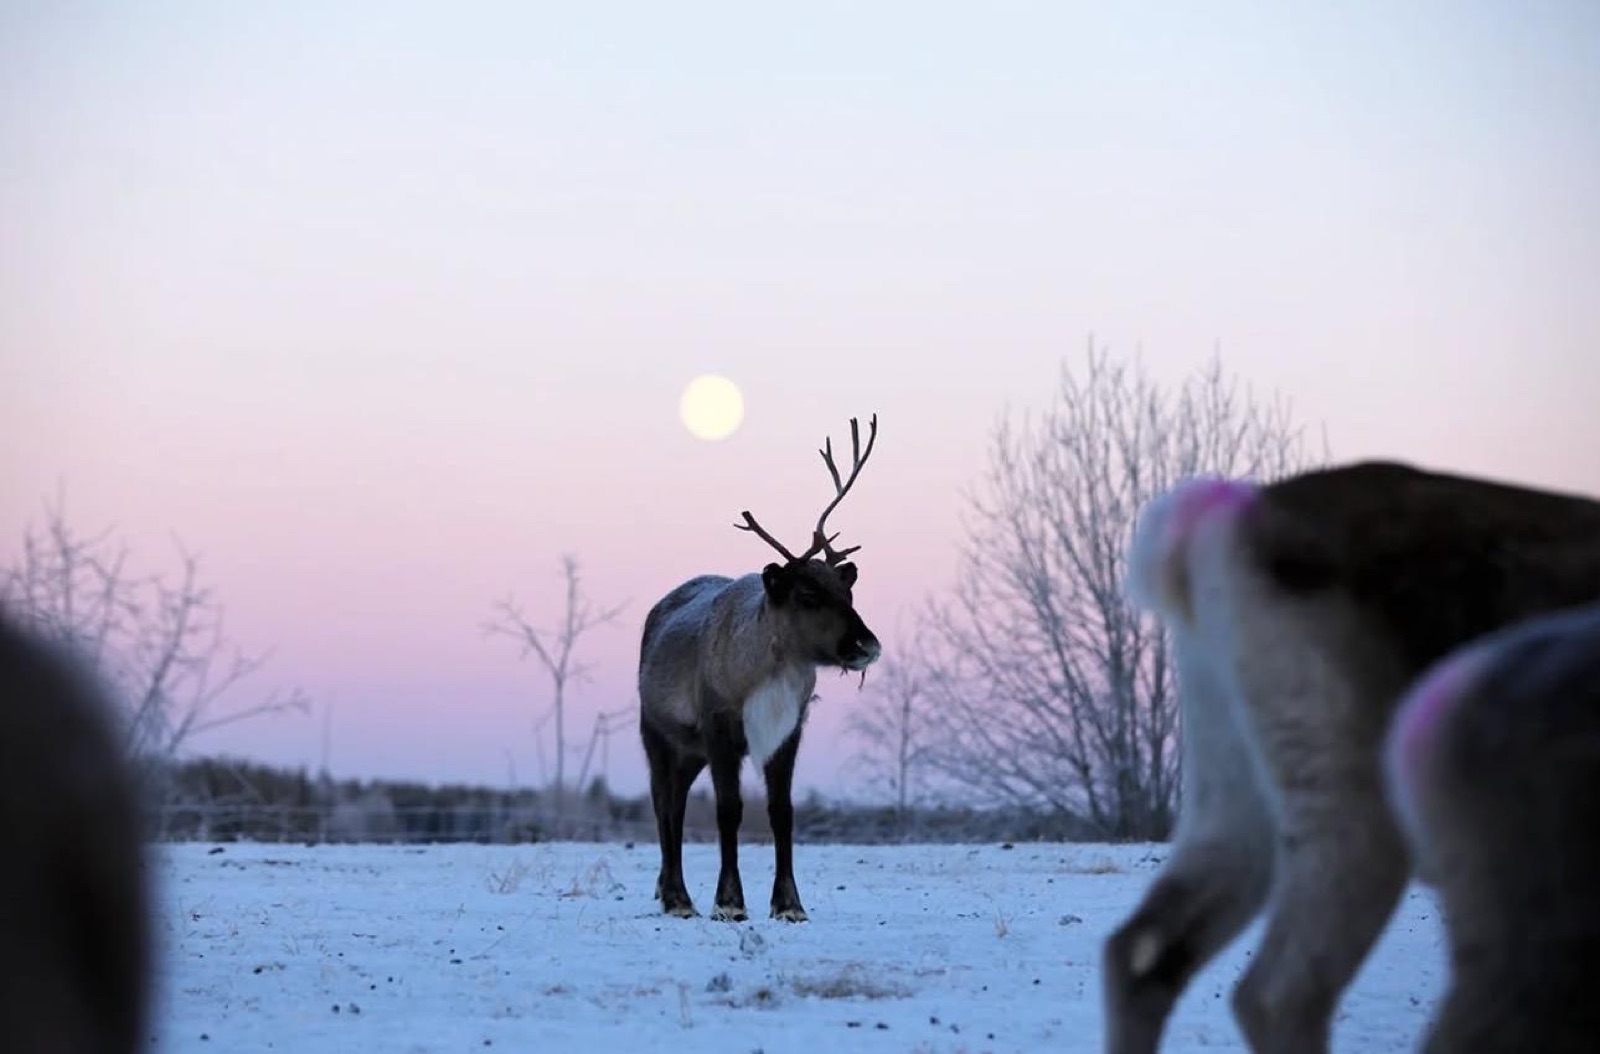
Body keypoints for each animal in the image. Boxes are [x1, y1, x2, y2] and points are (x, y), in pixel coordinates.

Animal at [638, 414, 884, 923]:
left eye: (847, 592)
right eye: (808, 594)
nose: (867, 645)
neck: (769, 677)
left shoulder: (788, 730)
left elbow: (781, 812)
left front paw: (789, 904)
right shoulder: (719, 728)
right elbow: (729, 810)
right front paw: (729, 902)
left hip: (690, 752)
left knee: (674, 803)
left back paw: (671, 892)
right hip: (658, 734)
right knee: (665, 806)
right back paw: (677, 898)